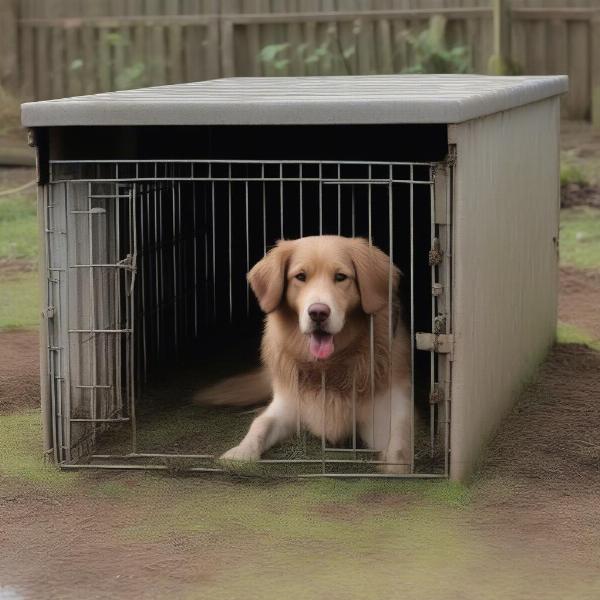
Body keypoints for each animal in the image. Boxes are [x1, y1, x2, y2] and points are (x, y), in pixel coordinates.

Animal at [197, 234, 412, 474]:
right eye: (300, 276)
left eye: (340, 277)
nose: (318, 312)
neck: (327, 366)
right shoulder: (288, 404)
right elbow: (260, 424)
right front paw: (241, 452)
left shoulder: (386, 407)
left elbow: (399, 438)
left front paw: (396, 466)